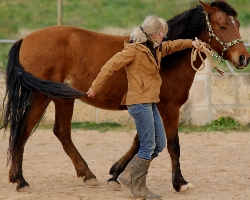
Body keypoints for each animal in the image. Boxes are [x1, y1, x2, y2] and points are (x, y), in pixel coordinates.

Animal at [0, 0, 249, 194]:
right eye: (222, 25)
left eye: (237, 24)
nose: (243, 58)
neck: (166, 59)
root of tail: (25, 40)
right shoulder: (169, 107)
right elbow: (172, 145)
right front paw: (180, 183)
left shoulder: (151, 106)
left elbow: (141, 141)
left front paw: (115, 174)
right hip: (40, 98)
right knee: (23, 132)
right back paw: (20, 181)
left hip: (63, 99)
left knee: (61, 132)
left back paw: (87, 175)